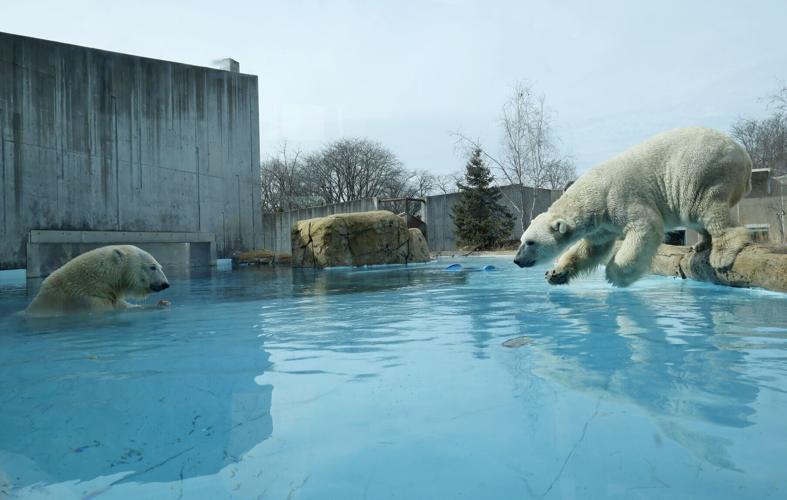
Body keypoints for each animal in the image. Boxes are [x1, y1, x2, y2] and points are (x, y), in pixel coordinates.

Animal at [513, 127, 752, 287]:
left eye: (531, 242)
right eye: (522, 240)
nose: (517, 260)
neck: (593, 194)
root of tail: (744, 156)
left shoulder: (619, 198)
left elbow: (645, 227)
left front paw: (615, 275)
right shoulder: (602, 224)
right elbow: (591, 249)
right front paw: (555, 273)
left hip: (703, 171)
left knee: (706, 207)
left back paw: (721, 255)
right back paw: (701, 244)